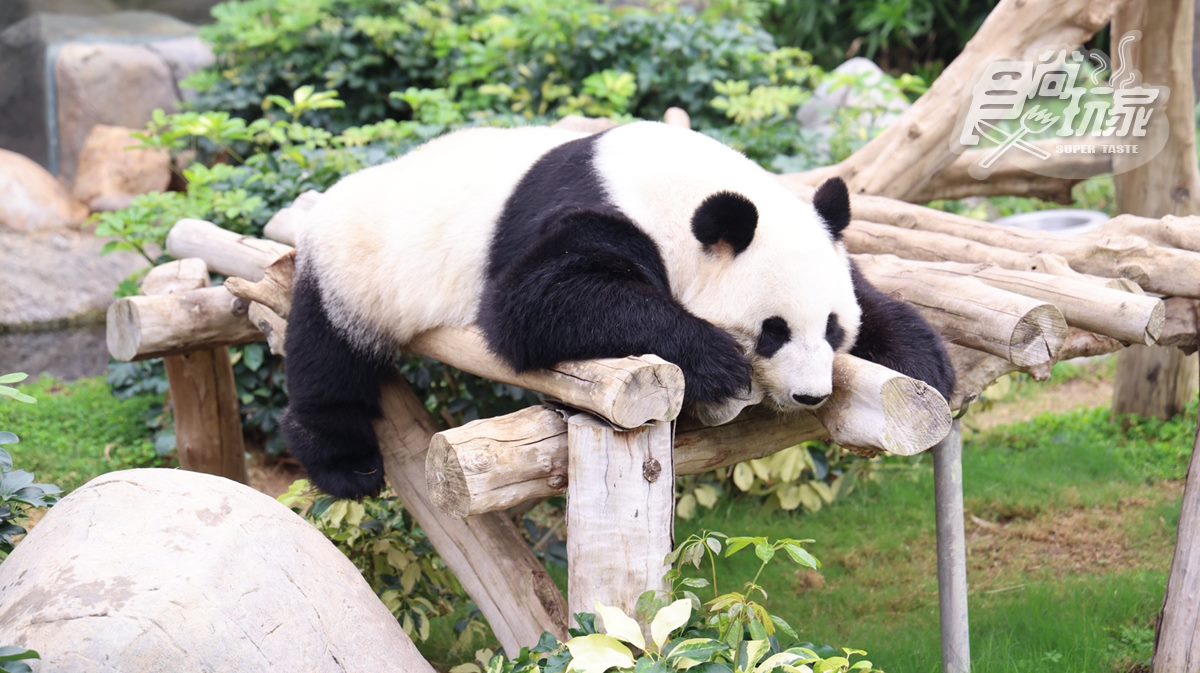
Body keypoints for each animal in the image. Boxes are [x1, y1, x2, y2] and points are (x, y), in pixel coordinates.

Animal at [283, 120, 955, 499]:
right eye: (772, 332)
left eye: (834, 329)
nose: (811, 395)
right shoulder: (592, 211)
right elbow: (533, 303)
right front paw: (715, 362)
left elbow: (871, 292)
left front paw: (925, 363)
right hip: (357, 264)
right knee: (328, 355)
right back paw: (345, 465)